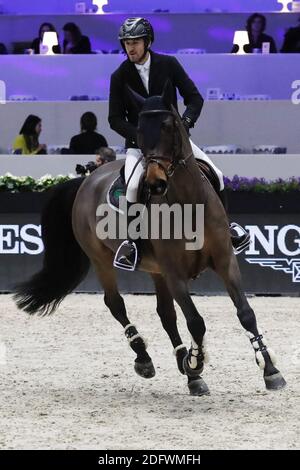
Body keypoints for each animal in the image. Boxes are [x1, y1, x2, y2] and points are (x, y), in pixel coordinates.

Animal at [14, 83, 286, 392]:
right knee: (116, 304)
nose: (155, 184)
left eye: (169, 126)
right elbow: (196, 321)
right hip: (102, 259)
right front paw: (196, 361)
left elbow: (245, 312)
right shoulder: (174, 272)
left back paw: (186, 369)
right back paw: (147, 359)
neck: (188, 205)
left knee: (165, 313)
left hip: (156, 270)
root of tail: (86, 179)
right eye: (139, 131)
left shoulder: (225, 261)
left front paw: (270, 369)